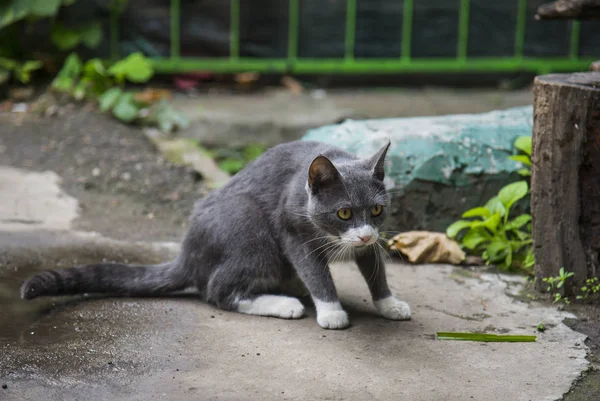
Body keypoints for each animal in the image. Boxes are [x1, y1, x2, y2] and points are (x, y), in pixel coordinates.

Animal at [19, 141, 412, 328]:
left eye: (377, 210)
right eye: (343, 212)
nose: (362, 235)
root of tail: (188, 253)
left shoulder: (371, 240)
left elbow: (376, 270)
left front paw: (390, 304)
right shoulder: (293, 231)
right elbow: (316, 272)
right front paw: (331, 311)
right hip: (250, 228)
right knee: (218, 289)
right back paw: (283, 303)